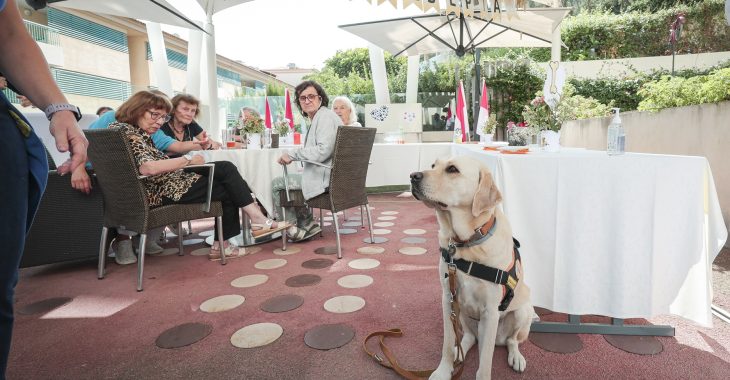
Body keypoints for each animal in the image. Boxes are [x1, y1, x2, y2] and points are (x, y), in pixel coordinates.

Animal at [410, 156, 536, 378]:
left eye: (452, 169)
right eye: (433, 165)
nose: (413, 176)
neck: (466, 243)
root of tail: (499, 340)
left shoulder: (490, 311)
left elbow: (485, 363)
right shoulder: (447, 299)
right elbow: (446, 344)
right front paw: (443, 371)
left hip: (523, 311)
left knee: (511, 341)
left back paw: (516, 357)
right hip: (462, 313)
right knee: (468, 337)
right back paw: (458, 352)